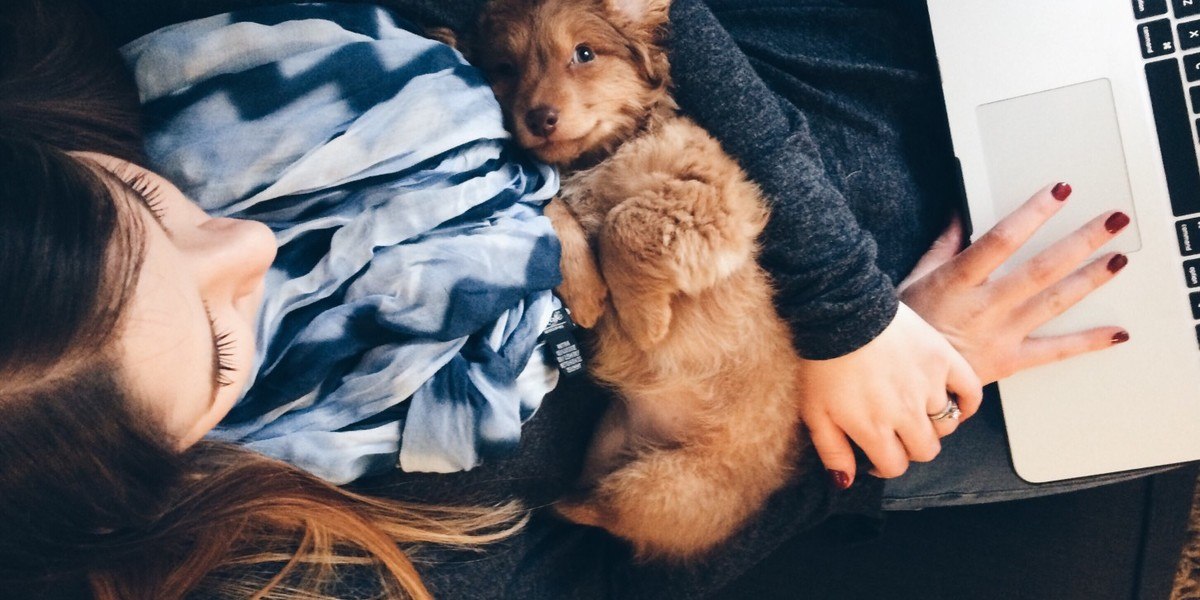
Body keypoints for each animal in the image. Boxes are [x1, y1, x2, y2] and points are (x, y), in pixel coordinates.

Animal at [475, 0, 806, 559]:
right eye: (505, 69)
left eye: (584, 54)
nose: (539, 118)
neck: (601, 157)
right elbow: (553, 204)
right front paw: (587, 293)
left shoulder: (716, 199)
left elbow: (624, 220)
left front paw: (642, 319)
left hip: (665, 486)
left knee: (607, 512)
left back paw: (555, 506)